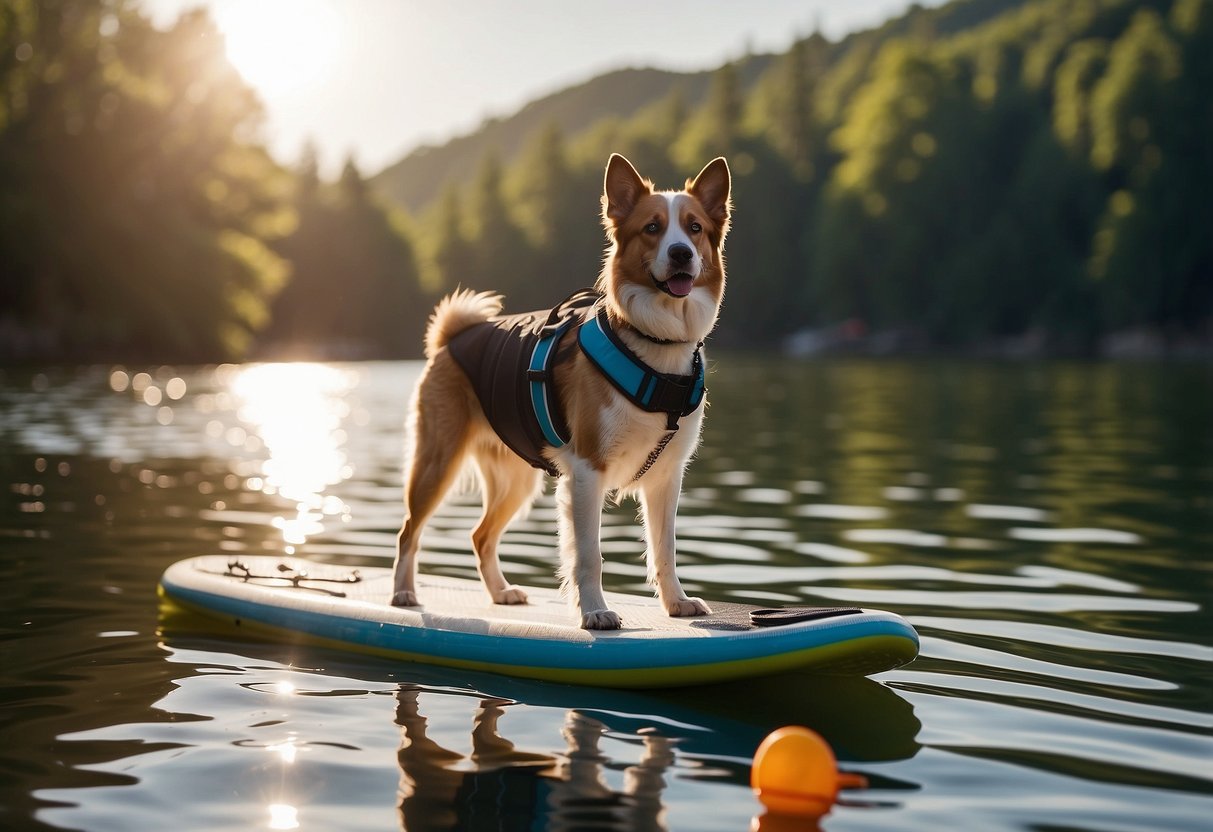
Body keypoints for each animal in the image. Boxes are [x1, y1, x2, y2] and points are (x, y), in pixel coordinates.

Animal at [393, 153, 727, 630]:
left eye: (694, 227)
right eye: (652, 228)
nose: (681, 252)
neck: (653, 346)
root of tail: (455, 336)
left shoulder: (667, 477)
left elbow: (665, 549)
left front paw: (676, 602)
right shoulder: (587, 473)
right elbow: (589, 556)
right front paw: (595, 611)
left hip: (516, 480)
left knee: (480, 535)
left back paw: (500, 592)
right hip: (437, 463)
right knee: (409, 531)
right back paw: (403, 592)